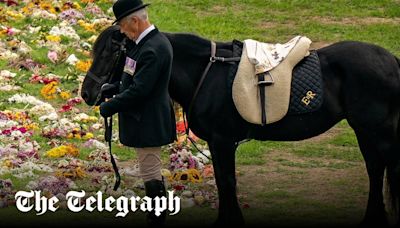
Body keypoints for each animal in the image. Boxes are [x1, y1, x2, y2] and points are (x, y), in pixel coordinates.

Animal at [80, 25, 400, 226]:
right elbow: (225, 182)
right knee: (375, 169)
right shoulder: (218, 142)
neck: (206, 73)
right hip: (365, 130)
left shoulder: (222, 140)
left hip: (375, 130)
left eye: (110, 53)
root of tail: (391, 61)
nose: (87, 93)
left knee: (380, 169)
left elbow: (227, 182)